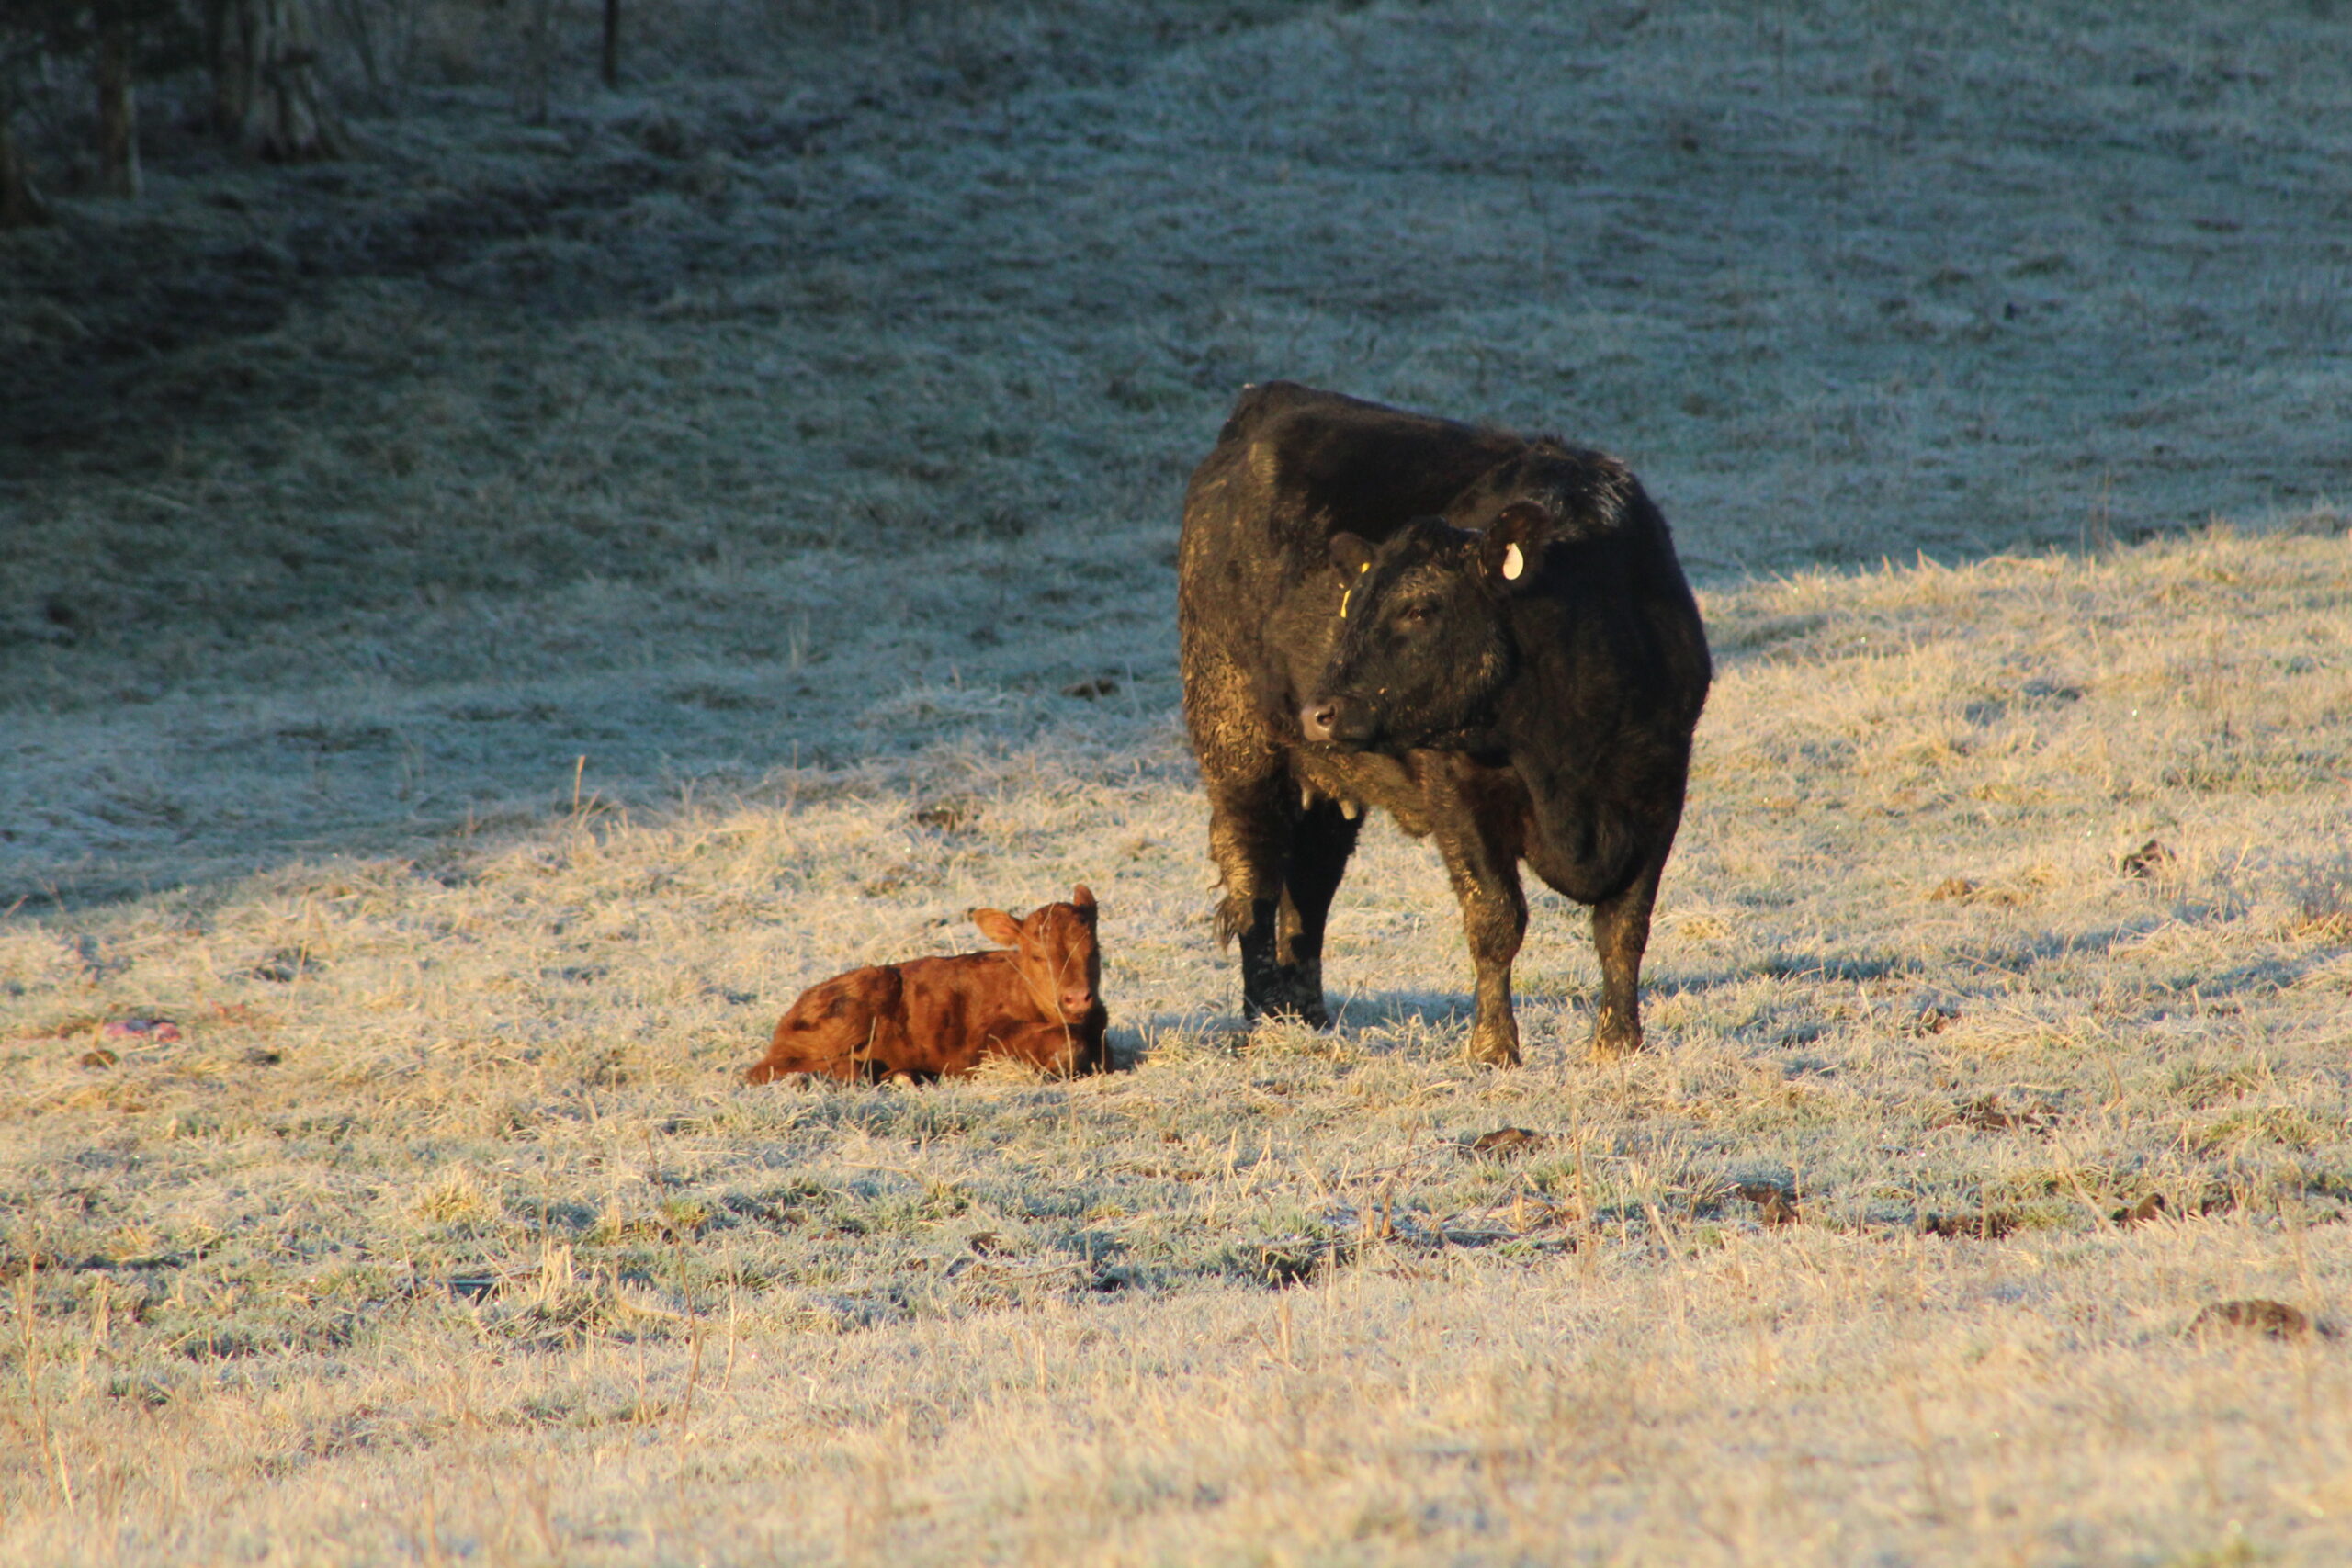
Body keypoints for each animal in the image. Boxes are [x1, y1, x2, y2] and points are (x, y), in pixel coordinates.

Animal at [748, 888, 1105, 1086]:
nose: (1076, 998)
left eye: (1094, 949)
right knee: (763, 1069)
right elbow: (1066, 1046)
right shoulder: (984, 1044)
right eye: (1037, 955)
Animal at [1176, 380, 1712, 1066]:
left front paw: (1618, 1043)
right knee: (1255, 870)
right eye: (1353, 602)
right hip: (1235, 737)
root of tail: (1267, 400)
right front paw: (1493, 1048)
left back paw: (1306, 1014)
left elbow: (1624, 926)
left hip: (1323, 777)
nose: (1321, 711)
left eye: (1420, 607)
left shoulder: (1660, 787)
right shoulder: (1457, 791)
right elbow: (1496, 919)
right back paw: (1265, 1014)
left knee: (1311, 879)